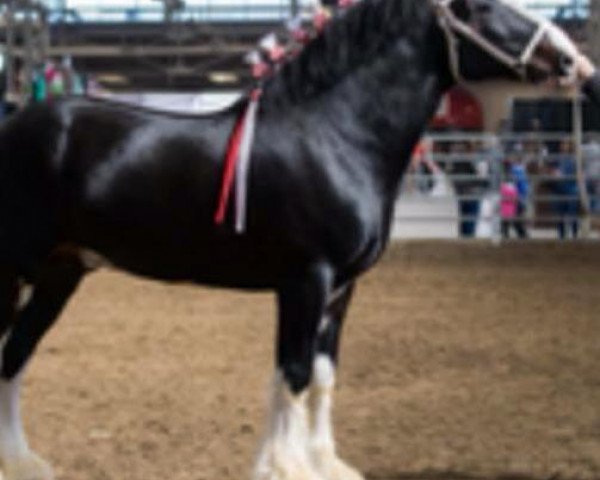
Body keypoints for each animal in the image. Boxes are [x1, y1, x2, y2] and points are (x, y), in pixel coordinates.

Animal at [0, 0, 584, 480]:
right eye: (483, 8)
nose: (574, 63)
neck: (333, 136)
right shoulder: (305, 280)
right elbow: (295, 374)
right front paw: (283, 467)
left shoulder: (341, 289)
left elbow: (322, 376)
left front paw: (324, 463)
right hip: (17, 270)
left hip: (60, 273)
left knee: (14, 355)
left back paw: (22, 463)